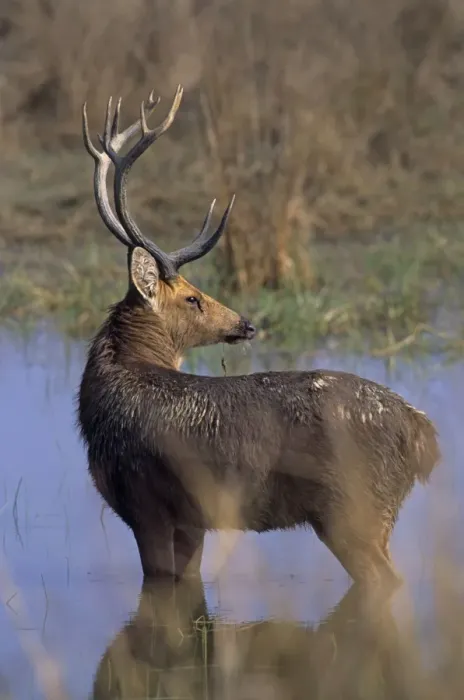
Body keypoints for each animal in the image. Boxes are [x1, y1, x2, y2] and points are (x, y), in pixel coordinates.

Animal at [77, 85, 441, 590]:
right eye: (193, 298)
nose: (246, 323)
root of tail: (423, 435)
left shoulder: (146, 506)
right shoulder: (190, 520)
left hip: (354, 511)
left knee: (386, 582)